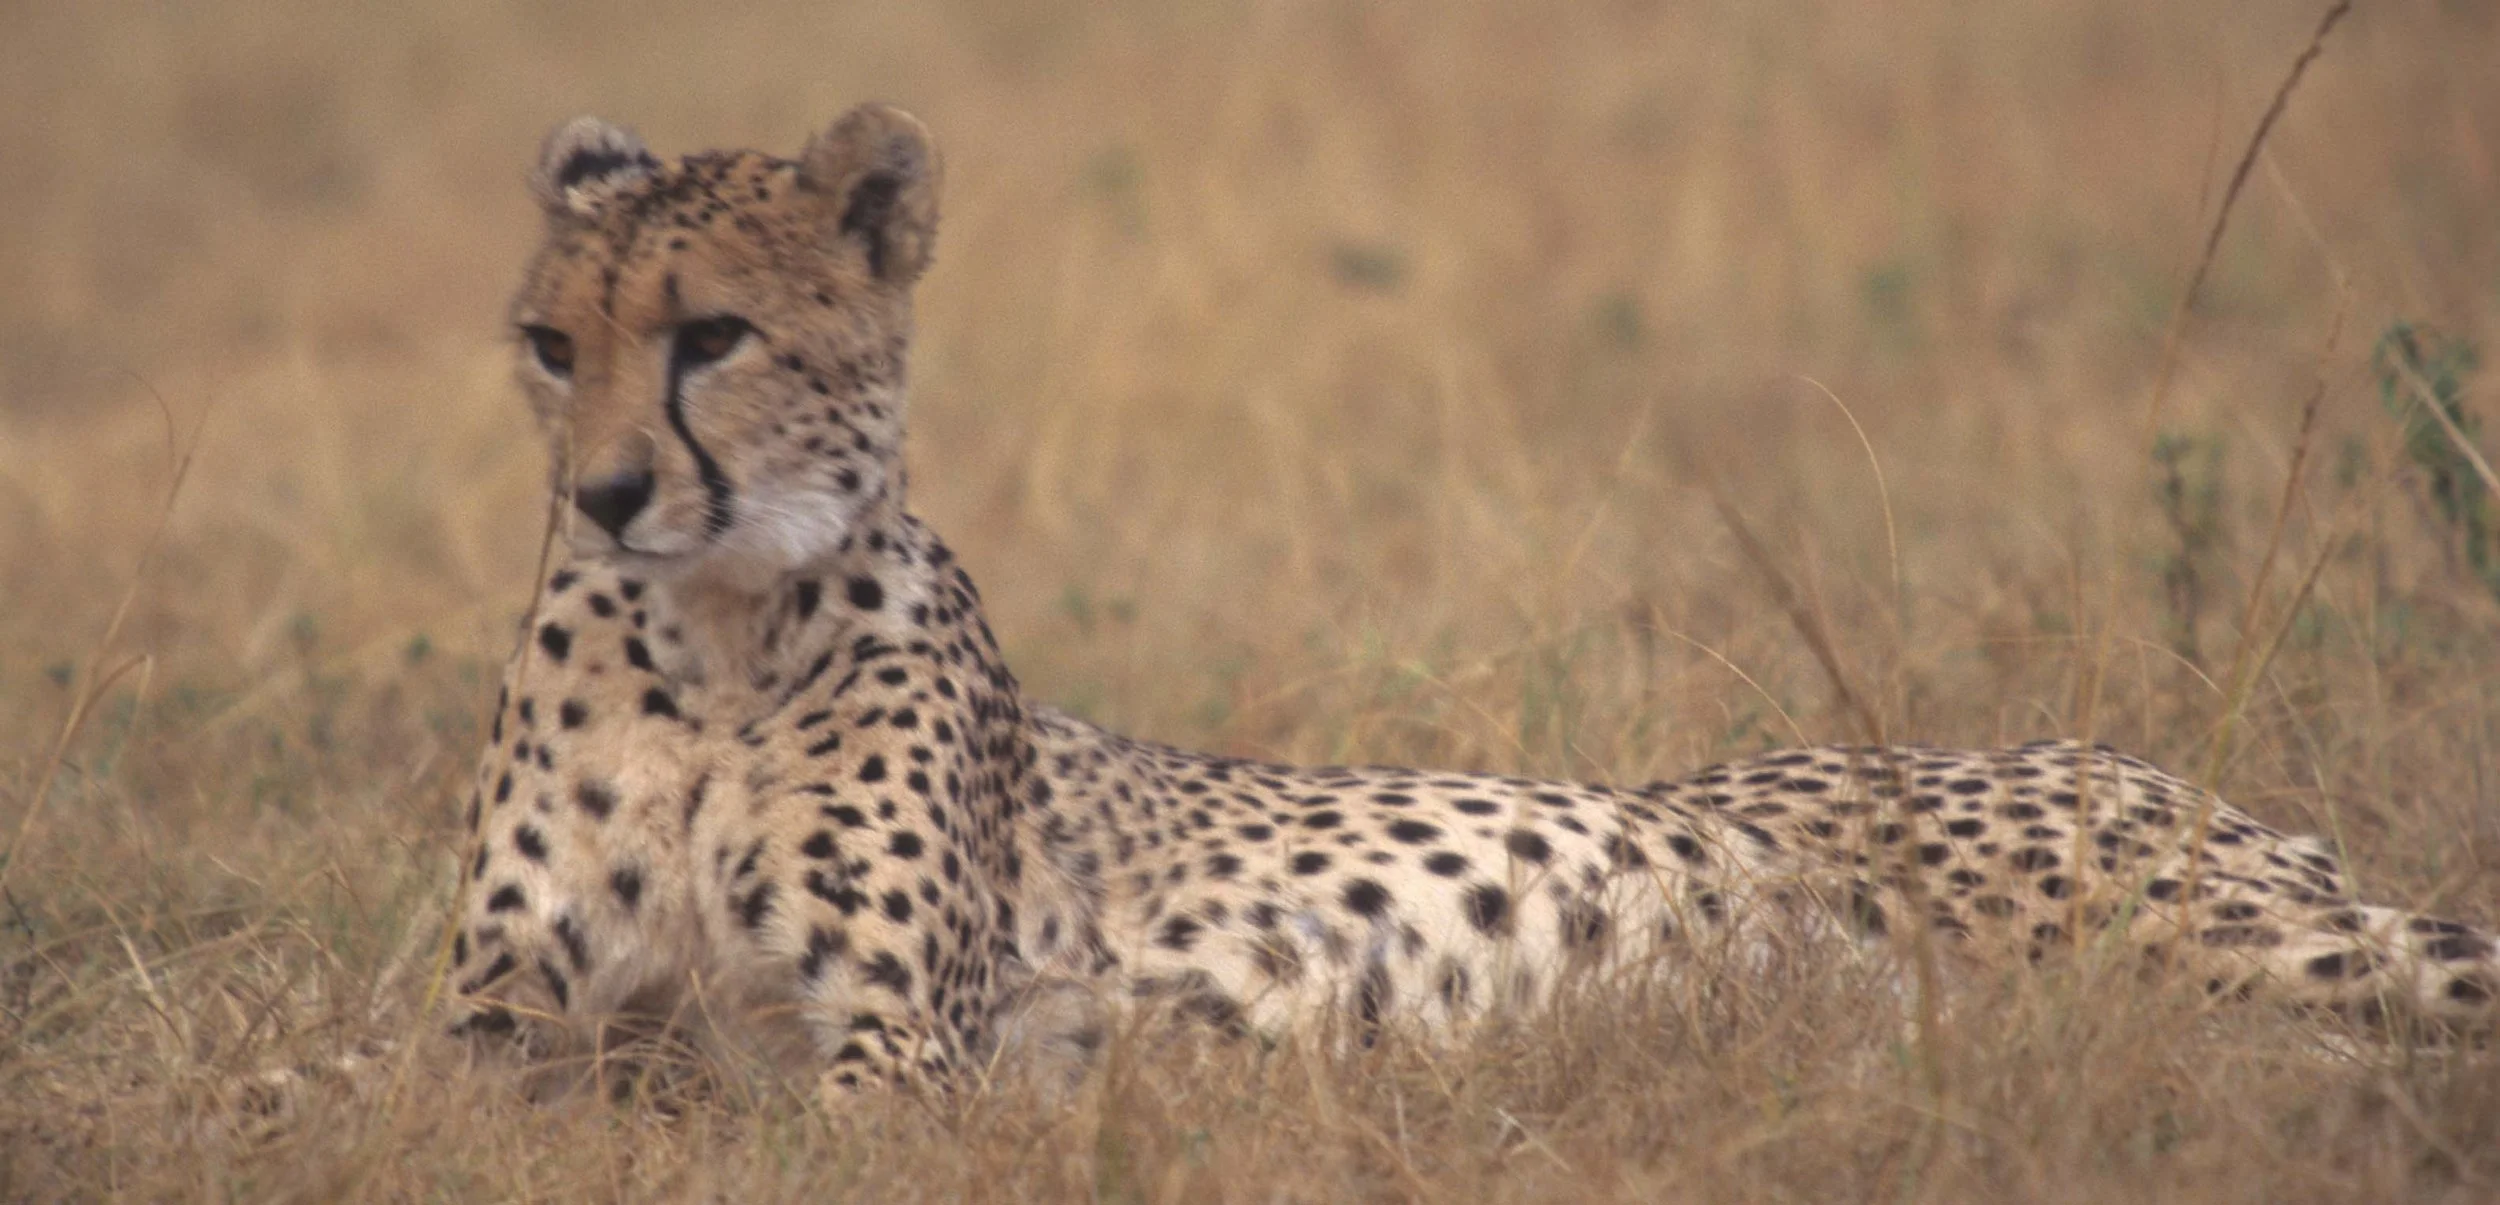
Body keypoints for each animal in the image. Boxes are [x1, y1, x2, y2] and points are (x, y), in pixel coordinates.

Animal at [446, 101, 2500, 1105]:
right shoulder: (500, 1025)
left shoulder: (902, 1054)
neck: (714, 639)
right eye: (550, 345)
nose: (605, 494)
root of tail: (2165, 772)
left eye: (713, 336)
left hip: (2214, 937)